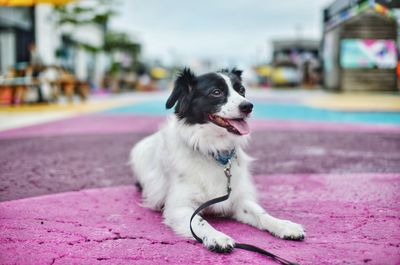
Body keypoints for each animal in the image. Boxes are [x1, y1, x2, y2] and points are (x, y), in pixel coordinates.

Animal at [130, 68, 304, 252]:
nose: (248, 106)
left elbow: (260, 213)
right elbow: (199, 221)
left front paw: (284, 225)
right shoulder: (178, 207)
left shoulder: (237, 200)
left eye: (241, 90)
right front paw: (217, 236)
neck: (213, 150)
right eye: (216, 92)